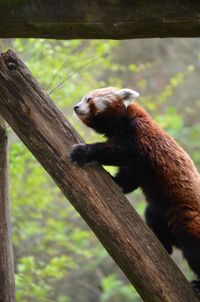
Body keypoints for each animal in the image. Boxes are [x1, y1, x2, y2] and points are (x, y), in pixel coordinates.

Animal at [70, 86, 200, 294]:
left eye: (88, 99)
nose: (75, 107)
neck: (123, 120)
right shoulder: (138, 166)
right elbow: (130, 175)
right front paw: (117, 183)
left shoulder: (138, 138)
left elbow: (118, 152)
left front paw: (84, 152)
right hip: (160, 210)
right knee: (154, 216)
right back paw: (163, 244)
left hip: (187, 216)